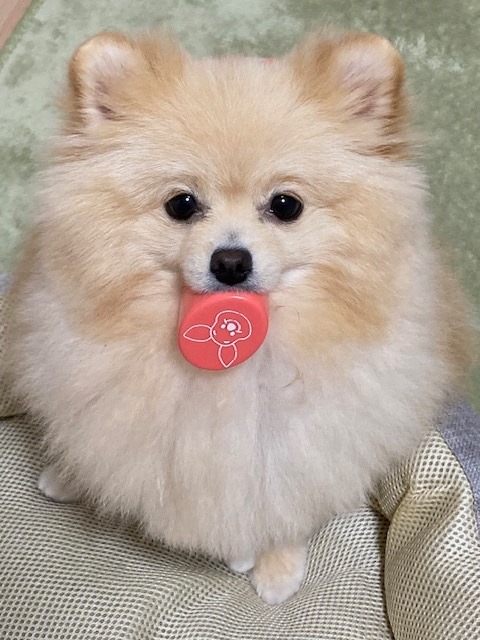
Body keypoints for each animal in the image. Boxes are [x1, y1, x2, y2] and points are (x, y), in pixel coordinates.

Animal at [5, 29, 472, 604]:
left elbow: (285, 504)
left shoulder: (312, 444)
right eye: (181, 204)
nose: (230, 261)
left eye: (286, 205)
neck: (233, 376)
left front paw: (275, 567)